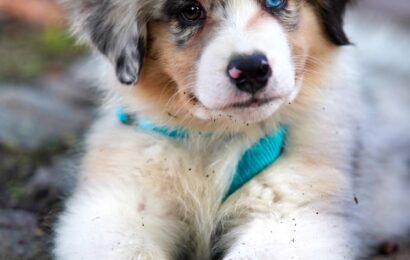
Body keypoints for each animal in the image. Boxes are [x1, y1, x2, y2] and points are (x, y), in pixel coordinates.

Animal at [54, 0, 410, 260]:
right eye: (191, 11)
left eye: (276, 1)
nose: (251, 69)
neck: (214, 137)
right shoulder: (118, 204)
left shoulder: (295, 214)